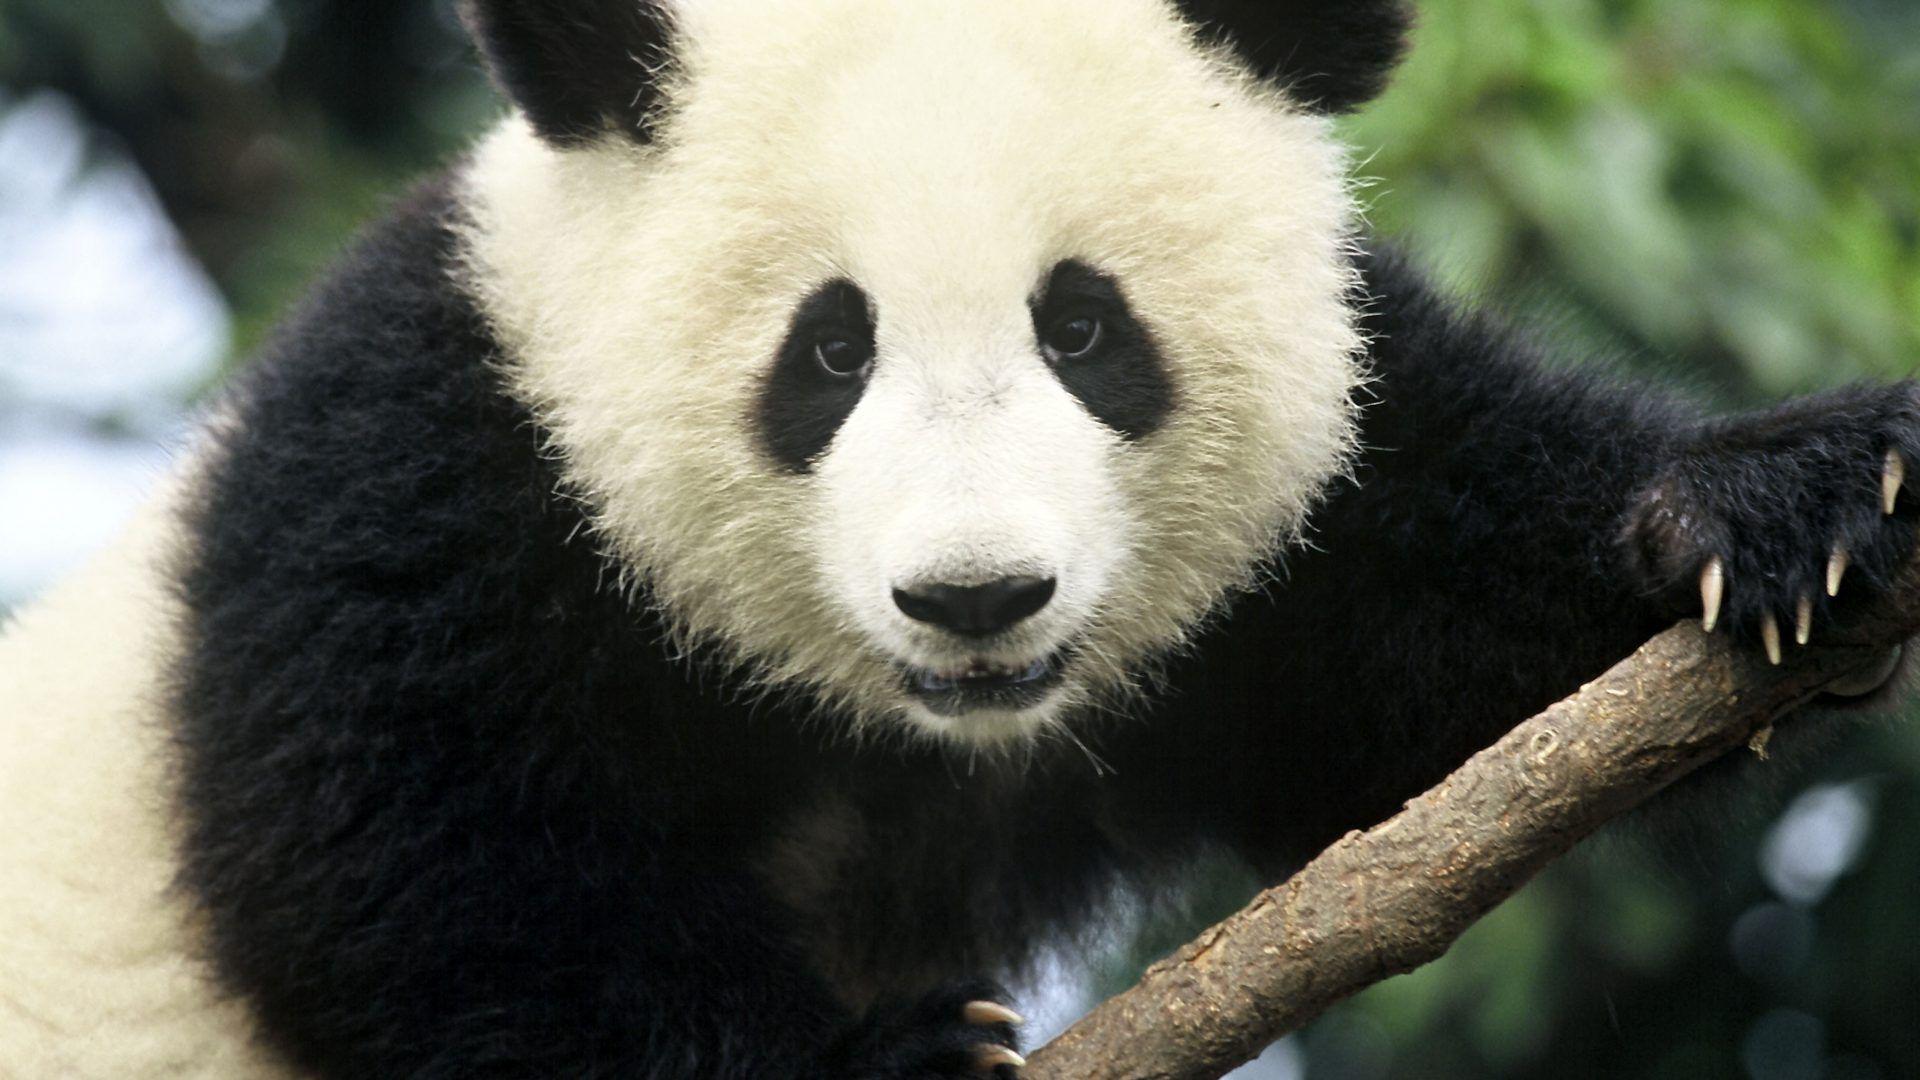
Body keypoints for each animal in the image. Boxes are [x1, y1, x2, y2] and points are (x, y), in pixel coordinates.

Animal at [1, 0, 1914, 1076]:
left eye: (1085, 327)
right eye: (827, 352)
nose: (977, 597)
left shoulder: (1318, 520)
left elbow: (1425, 653)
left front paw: (1791, 506)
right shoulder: (425, 475)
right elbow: (423, 891)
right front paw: (884, 1063)